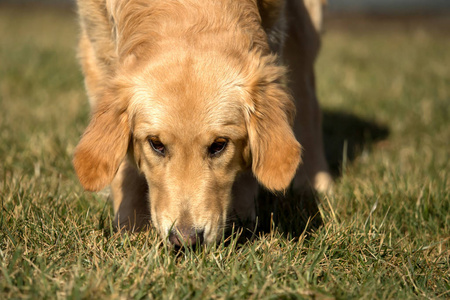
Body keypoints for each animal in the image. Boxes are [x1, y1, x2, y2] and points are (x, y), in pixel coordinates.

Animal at [74, 0, 332, 246]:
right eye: (156, 144)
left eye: (219, 145)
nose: (185, 240)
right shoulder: (96, 45)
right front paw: (131, 223)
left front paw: (242, 214)